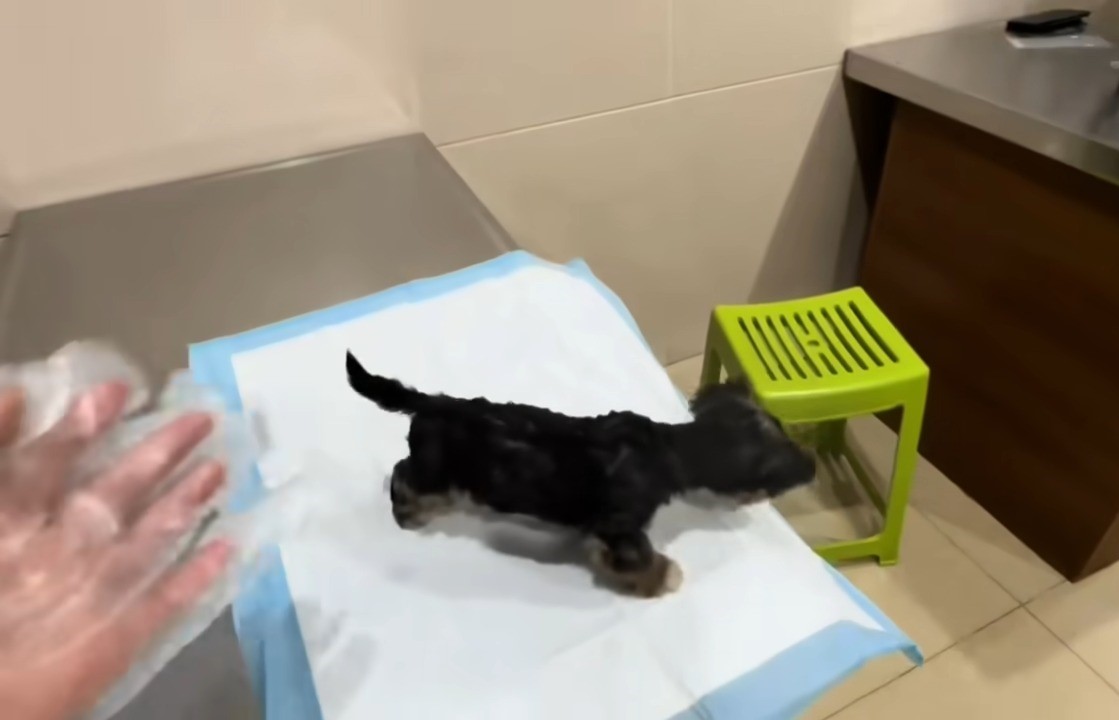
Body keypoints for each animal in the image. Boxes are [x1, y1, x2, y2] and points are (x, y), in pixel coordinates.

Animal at [344, 353, 819, 595]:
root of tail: (432, 401)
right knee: (404, 476)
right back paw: (408, 513)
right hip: (435, 469)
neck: (672, 449)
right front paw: (663, 577)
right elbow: (639, 557)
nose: (809, 465)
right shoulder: (619, 528)